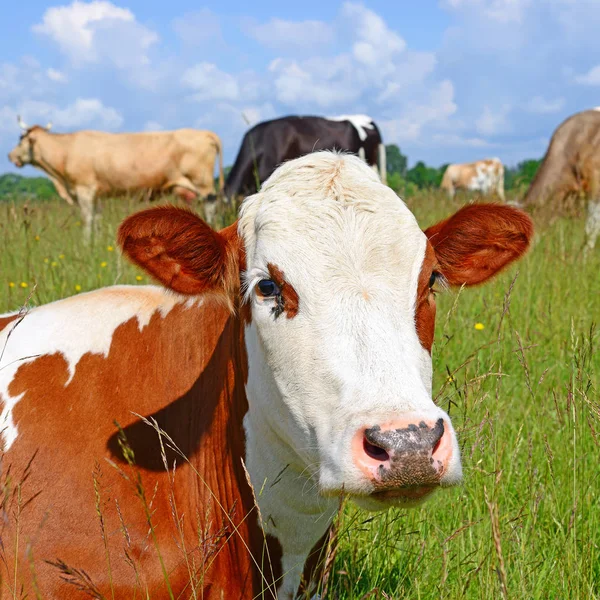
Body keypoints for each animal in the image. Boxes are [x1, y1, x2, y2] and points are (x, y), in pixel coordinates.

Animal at [7, 116, 225, 238]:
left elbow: (87, 219)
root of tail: (205, 133)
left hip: (202, 183)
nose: (10, 156)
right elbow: (96, 219)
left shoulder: (84, 190)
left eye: (21, 139)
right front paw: (96, 241)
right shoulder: (96, 194)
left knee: (211, 206)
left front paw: (86, 242)